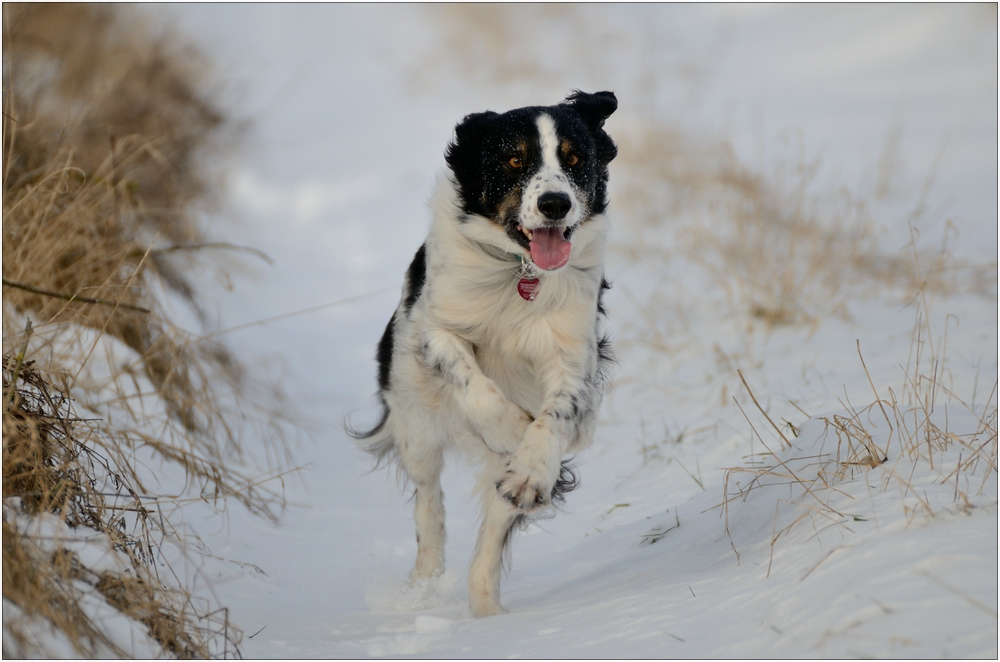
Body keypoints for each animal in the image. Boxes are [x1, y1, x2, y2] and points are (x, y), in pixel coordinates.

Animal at [352, 91, 616, 620]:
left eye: (576, 158)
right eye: (514, 159)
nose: (554, 204)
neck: (521, 272)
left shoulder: (572, 359)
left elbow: (556, 416)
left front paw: (531, 467)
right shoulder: (434, 328)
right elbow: (475, 384)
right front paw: (512, 429)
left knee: (493, 528)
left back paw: (486, 614)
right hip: (415, 419)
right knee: (427, 500)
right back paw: (424, 584)